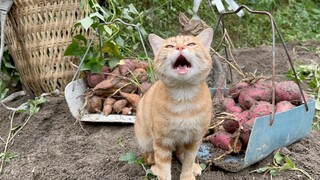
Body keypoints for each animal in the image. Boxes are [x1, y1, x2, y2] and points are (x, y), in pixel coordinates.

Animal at [134, 28, 214, 180]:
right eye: (169, 46)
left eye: (191, 44)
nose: (180, 47)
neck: (184, 97)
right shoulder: (161, 142)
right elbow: (164, 169)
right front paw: (161, 171)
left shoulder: (195, 139)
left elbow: (188, 160)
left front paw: (187, 175)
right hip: (146, 139)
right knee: (149, 157)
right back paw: (154, 168)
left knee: (179, 152)